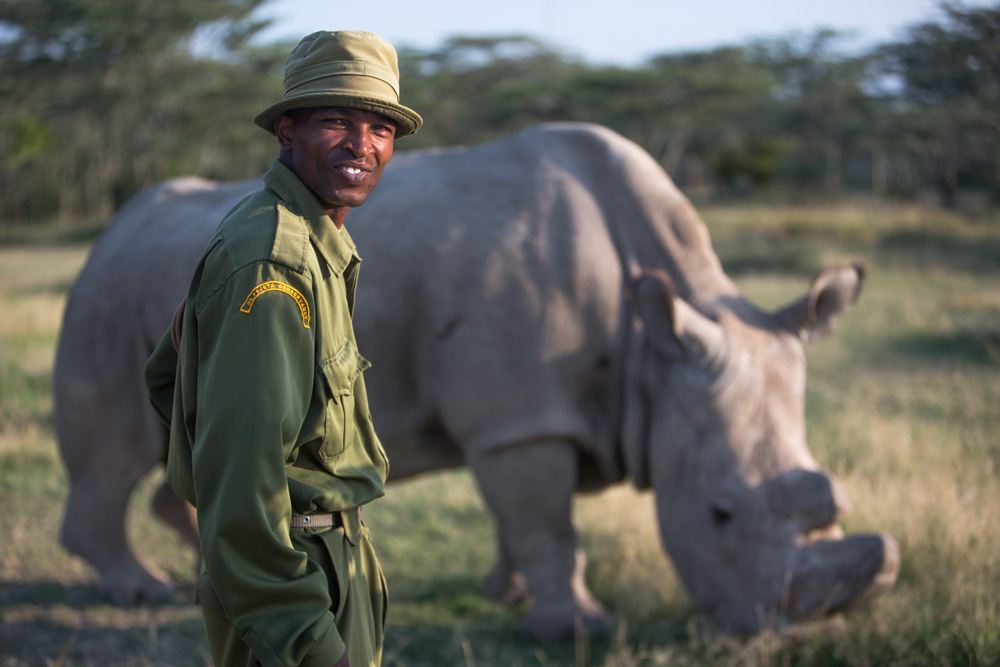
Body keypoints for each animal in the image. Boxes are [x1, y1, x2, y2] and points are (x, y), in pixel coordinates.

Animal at [52, 122, 900, 640]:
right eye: (720, 513)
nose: (783, 631)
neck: (650, 350)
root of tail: (110, 229)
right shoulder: (523, 417)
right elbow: (549, 525)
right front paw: (576, 627)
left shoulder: (526, 412)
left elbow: (523, 521)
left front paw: (511, 594)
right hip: (103, 294)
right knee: (114, 449)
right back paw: (143, 590)